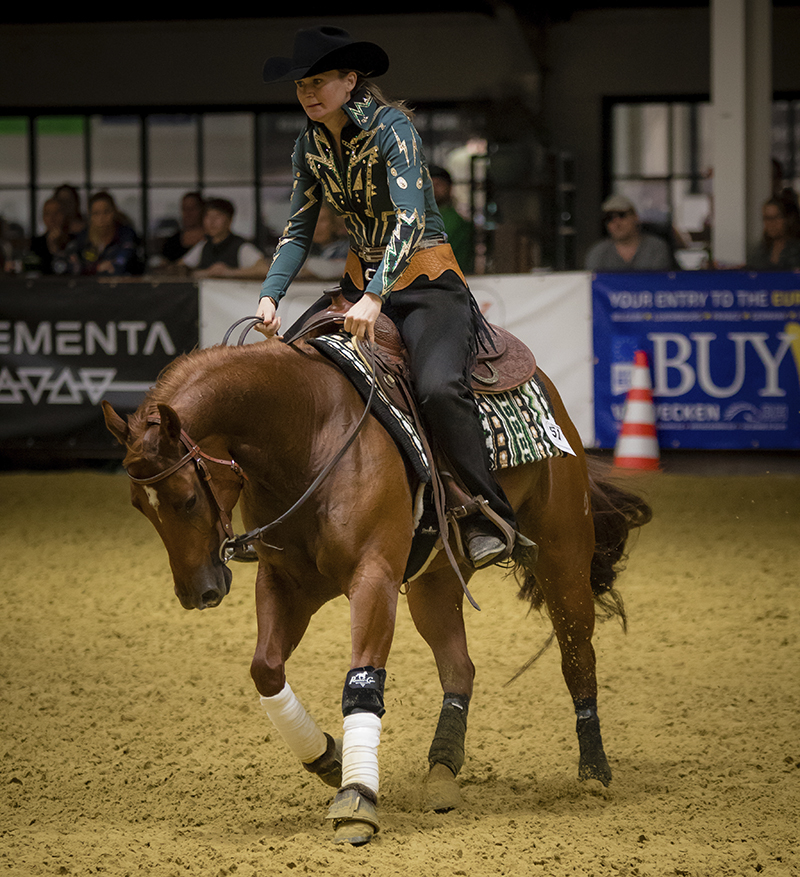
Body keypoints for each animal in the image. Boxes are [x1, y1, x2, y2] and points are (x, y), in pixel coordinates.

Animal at [101, 332, 648, 844]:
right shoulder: (286, 583)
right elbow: (266, 670)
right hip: (436, 582)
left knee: (577, 656)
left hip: (564, 555)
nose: (198, 593)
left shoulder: (374, 579)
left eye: (188, 498)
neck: (309, 433)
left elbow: (361, 685)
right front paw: (327, 757)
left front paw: (357, 797)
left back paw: (593, 772)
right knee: (459, 667)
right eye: (137, 505)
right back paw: (442, 774)